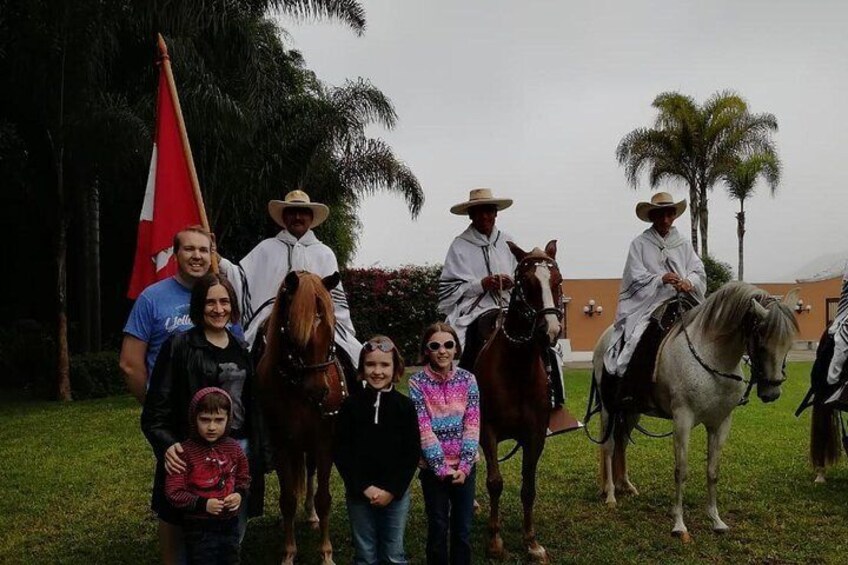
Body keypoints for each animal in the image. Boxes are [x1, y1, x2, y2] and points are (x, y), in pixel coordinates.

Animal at [256, 270, 346, 564]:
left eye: (331, 328)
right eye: (295, 332)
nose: (319, 391)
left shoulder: (324, 442)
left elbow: (324, 497)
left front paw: (326, 553)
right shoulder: (282, 444)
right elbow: (287, 499)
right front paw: (289, 552)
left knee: (310, 472)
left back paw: (311, 515)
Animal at [476, 240, 564, 560]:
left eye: (557, 281)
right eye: (525, 283)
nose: (550, 331)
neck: (516, 369)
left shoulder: (534, 435)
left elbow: (528, 487)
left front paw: (531, 541)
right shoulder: (487, 430)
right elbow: (495, 482)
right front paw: (494, 541)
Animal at [592, 284, 800, 540]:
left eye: (788, 344)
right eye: (761, 340)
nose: (772, 392)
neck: (712, 358)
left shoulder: (720, 423)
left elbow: (712, 471)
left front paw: (716, 520)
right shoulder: (683, 420)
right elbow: (681, 471)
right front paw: (679, 524)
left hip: (631, 411)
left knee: (621, 443)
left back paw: (626, 486)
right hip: (609, 409)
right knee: (609, 446)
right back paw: (611, 494)